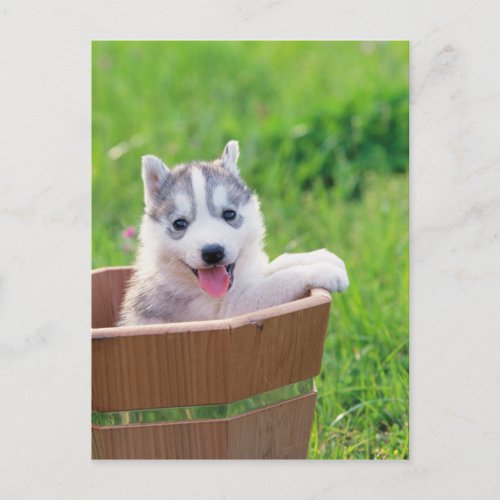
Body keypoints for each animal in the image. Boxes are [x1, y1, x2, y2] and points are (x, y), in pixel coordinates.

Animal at [119, 142, 350, 328]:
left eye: (229, 214)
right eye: (179, 224)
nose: (212, 252)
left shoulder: (248, 276)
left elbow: (273, 267)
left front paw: (319, 257)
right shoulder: (229, 312)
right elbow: (276, 282)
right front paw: (322, 270)